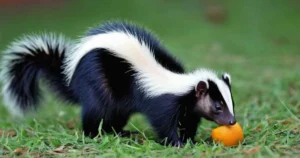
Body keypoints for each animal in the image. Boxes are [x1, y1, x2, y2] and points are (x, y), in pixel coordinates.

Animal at [0, 21, 237, 147]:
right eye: (218, 106)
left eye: (231, 103)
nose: (232, 121)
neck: (179, 83)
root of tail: (71, 78)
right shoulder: (162, 103)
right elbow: (164, 124)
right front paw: (176, 142)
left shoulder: (189, 107)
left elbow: (189, 121)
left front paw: (188, 140)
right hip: (97, 83)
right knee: (96, 111)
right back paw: (94, 134)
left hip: (118, 102)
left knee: (116, 115)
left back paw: (119, 132)